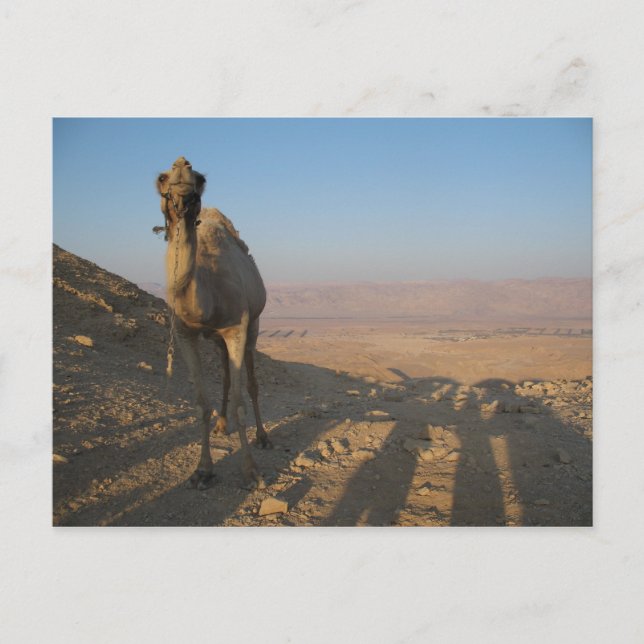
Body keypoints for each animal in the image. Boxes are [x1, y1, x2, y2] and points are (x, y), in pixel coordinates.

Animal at [156, 156, 270, 489]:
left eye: (201, 178)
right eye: (162, 178)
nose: (181, 164)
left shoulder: (237, 328)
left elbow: (240, 402)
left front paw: (251, 471)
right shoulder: (185, 334)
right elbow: (200, 403)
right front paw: (203, 470)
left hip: (253, 326)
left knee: (251, 383)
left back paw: (263, 437)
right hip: (217, 341)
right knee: (226, 375)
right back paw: (221, 425)